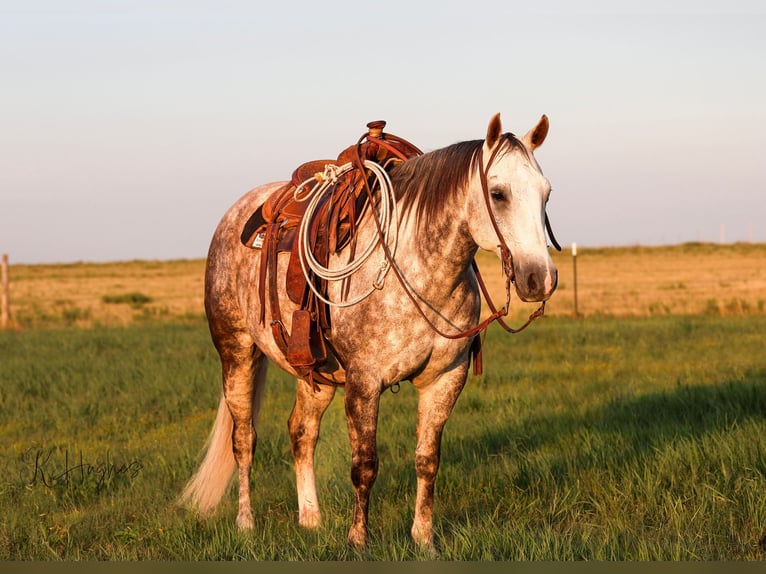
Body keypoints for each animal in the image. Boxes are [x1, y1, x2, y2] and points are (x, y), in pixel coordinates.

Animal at [180, 113, 559, 551]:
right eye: (498, 193)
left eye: (546, 193)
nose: (540, 278)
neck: (418, 269)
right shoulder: (364, 381)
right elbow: (365, 465)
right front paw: (358, 539)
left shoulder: (445, 379)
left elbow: (427, 460)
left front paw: (423, 539)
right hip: (237, 352)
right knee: (243, 439)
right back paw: (246, 523)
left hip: (316, 374)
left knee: (301, 432)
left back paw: (310, 519)